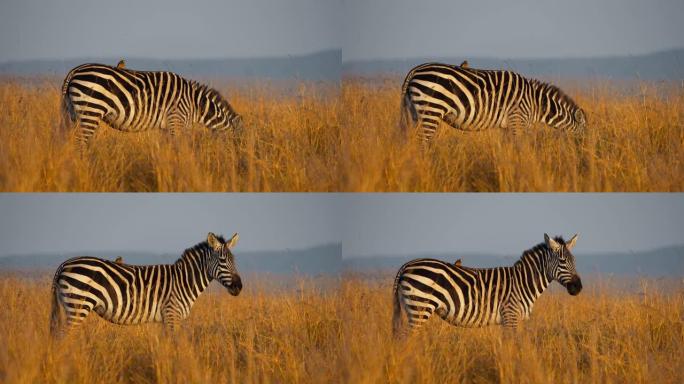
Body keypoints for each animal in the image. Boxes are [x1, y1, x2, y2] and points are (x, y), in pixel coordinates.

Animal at [50, 231, 243, 336]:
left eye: (234, 260)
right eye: (223, 261)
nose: (239, 287)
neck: (184, 281)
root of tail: (64, 264)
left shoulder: (166, 318)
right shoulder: (172, 314)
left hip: (70, 305)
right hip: (78, 305)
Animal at [61, 62, 243, 148]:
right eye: (238, 144)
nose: (240, 162)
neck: (195, 104)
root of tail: (75, 70)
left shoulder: (167, 127)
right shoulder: (176, 121)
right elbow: (179, 150)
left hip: (73, 113)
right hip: (91, 110)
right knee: (80, 143)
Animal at [392, 232, 580, 334]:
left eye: (574, 260)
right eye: (562, 261)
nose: (578, 287)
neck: (523, 282)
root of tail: (407, 265)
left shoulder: (509, 319)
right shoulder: (510, 315)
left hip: (412, 308)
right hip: (420, 307)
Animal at [400, 62, 588, 142]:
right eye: (585, 131)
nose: (586, 151)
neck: (535, 103)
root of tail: (415, 70)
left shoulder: (508, 126)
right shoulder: (517, 121)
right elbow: (520, 148)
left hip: (414, 113)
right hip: (432, 109)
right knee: (423, 142)